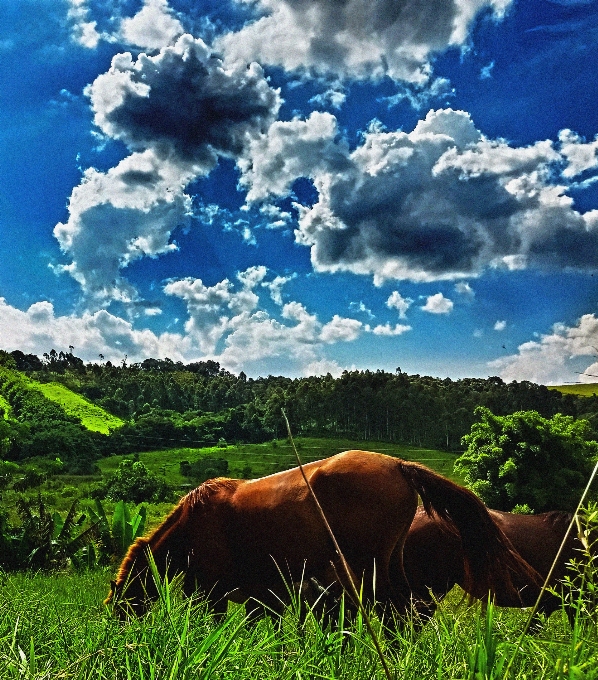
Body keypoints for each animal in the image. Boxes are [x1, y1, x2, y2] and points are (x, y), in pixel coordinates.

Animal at [106, 448, 540, 620]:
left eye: (122, 598)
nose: (118, 625)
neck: (193, 523)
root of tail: (398, 465)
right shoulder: (260, 598)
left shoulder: (210, 594)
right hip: (390, 565)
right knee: (409, 611)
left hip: (369, 570)